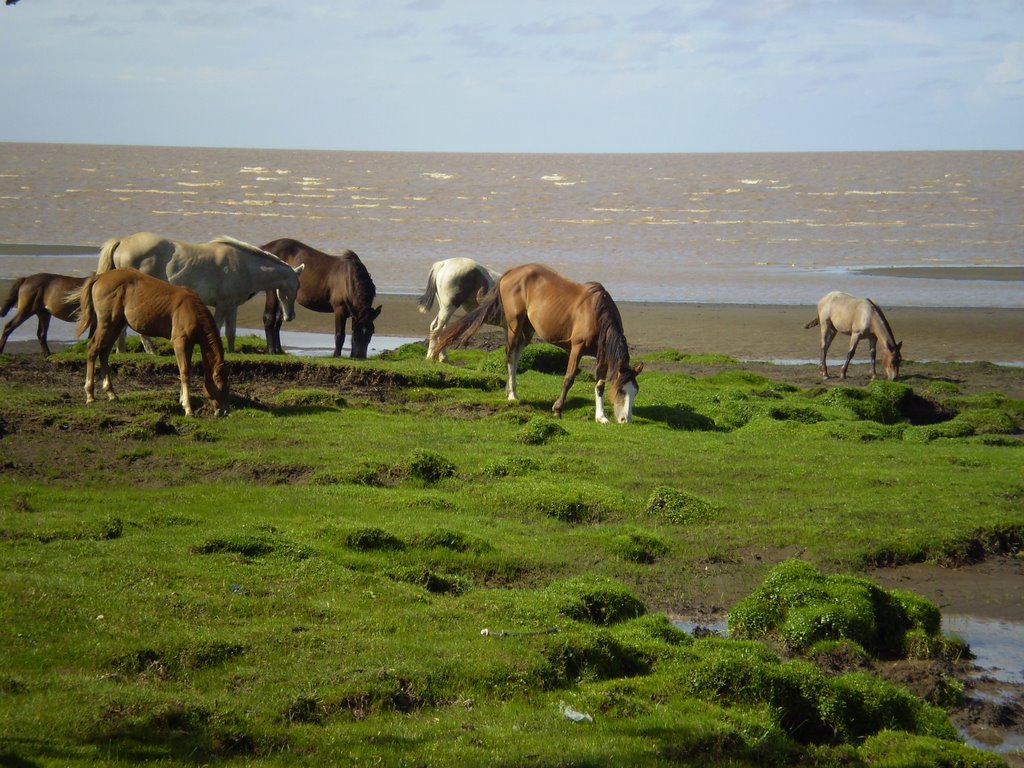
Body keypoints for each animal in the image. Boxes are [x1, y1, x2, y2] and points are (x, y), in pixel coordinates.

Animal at [74, 268, 230, 417]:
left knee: (104, 352)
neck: (192, 310)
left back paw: (111, 393)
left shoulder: (189, 344)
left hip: (117, 325)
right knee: (93, 349)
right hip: (106, 324)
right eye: (221, 387)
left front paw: (181, 400)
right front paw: (188, 409)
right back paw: (90, 395)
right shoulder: (180, 343)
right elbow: (185, 372)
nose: (224, 411)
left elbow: (185, 370)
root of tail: (100, 277)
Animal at [96, 231, 303, 354]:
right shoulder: (222, 305)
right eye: (297, 287)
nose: (290, 316)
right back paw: (150, 351)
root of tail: (122, 242)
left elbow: (231, 332)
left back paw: (121, 350)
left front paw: (231, 352)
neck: (244, 265)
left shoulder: (232, 306)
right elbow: (217, 329)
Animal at [432, 262, 638, 423]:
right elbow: (569, 378)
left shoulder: (602, 355)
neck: (596, 314)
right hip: (514, 323)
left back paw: (511, 390)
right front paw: (557, 409)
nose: (625, 420)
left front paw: (601, 417)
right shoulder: (577, 348)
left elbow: (600, 384)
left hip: (527, 330)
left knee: (515, 355)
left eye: (635, 392)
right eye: (621, 391)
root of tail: (511, 273)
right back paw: (512, 395)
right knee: (510, 355)